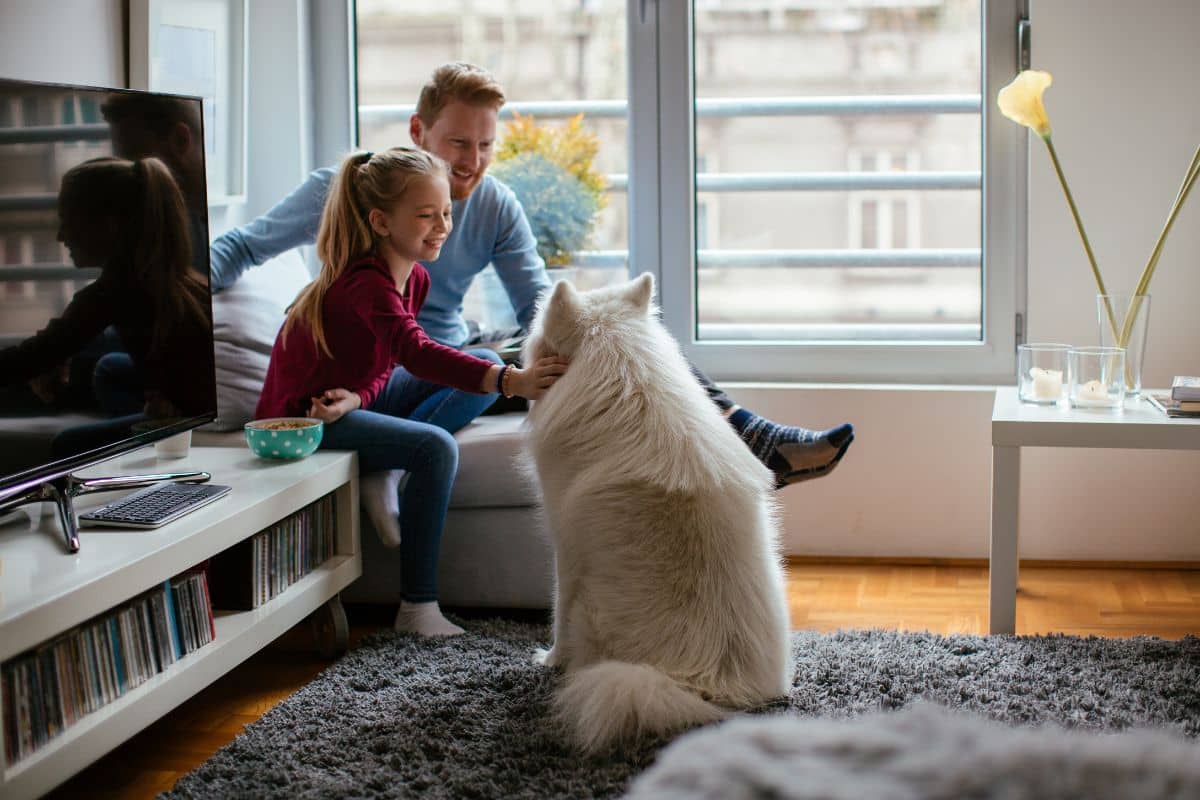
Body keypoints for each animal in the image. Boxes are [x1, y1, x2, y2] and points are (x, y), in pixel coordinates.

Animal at [520, 272, 792, 753]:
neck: (624, 376)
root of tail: (706, 685)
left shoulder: (565, 549)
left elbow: (556, 611)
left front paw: (550, 660)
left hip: (592, 611)